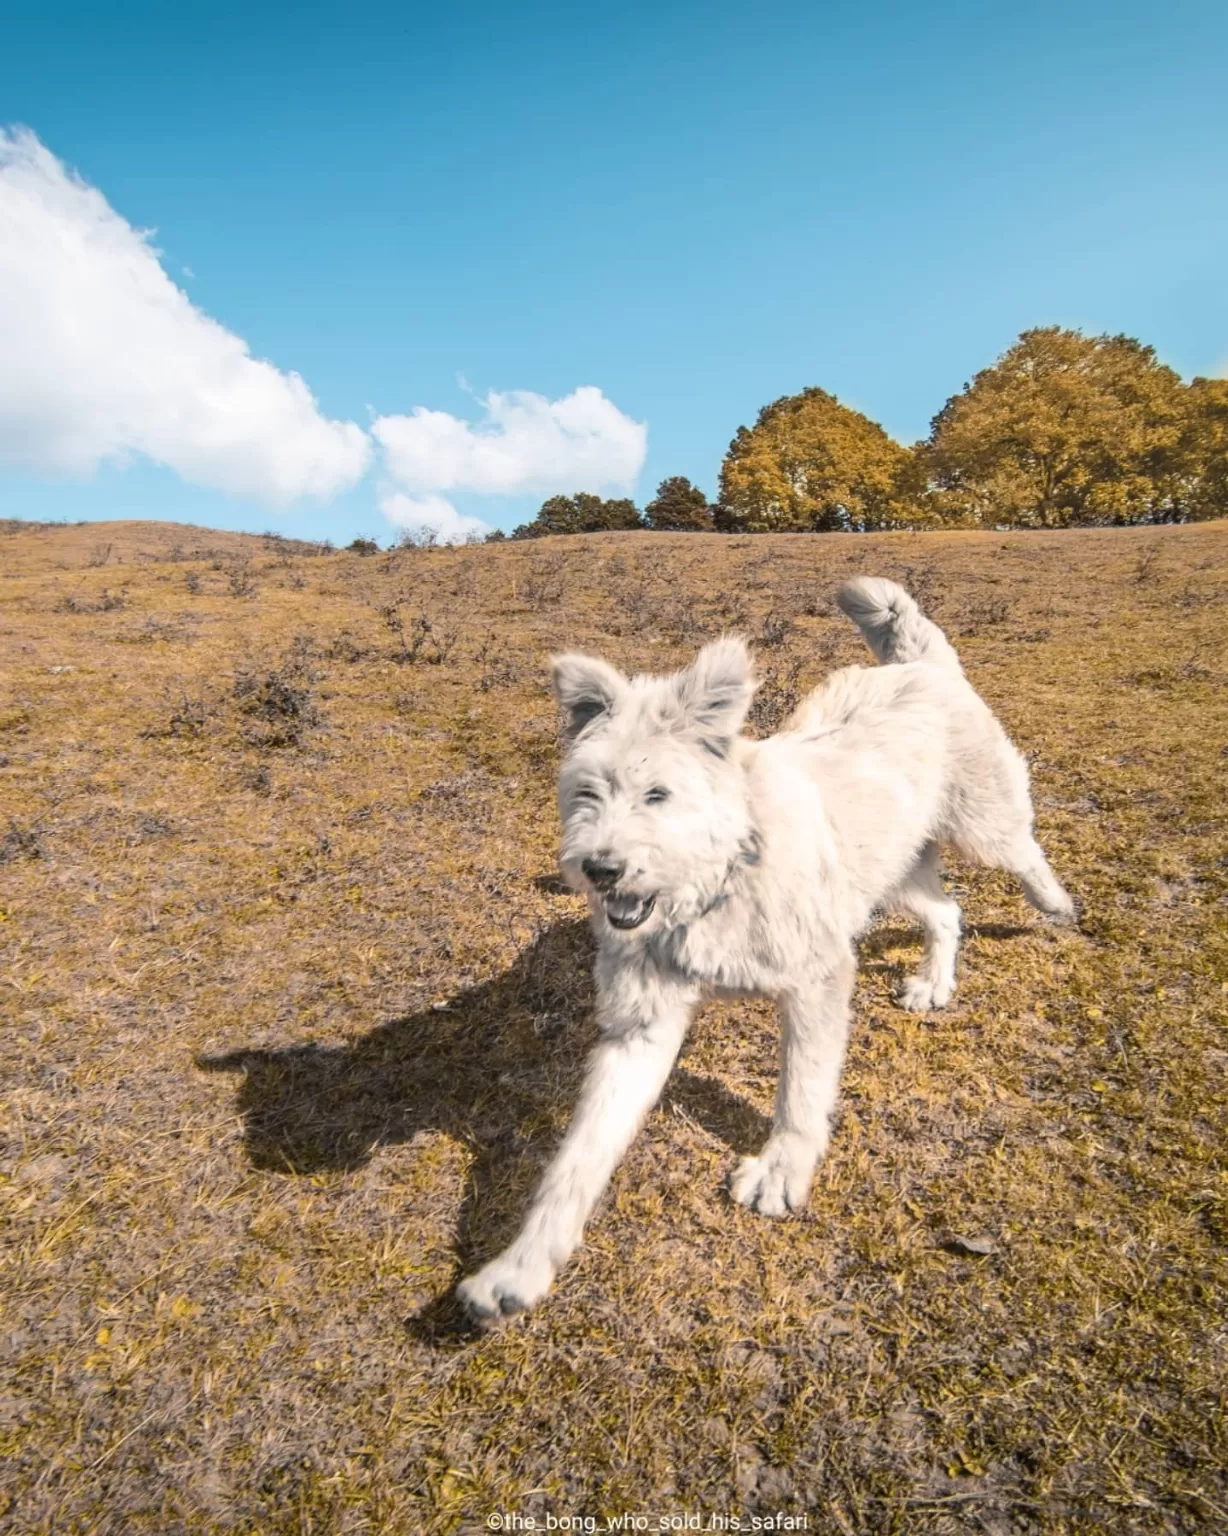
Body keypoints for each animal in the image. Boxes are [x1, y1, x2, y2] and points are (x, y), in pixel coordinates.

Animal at [454, 577, 1069, 1320]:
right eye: (587, 793)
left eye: (657, 794)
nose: (599, 870)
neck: (718, 881)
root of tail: (917, 667)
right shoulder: (640, 1031)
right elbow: (576, 1162)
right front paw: (519, 1266)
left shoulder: (817, 983)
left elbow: (800, 1093)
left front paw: (782, 1169)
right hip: (888, 877)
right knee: (948, 910)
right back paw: (934, 982)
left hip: (985, 829)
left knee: (1024, 854)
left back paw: (1056, 903)